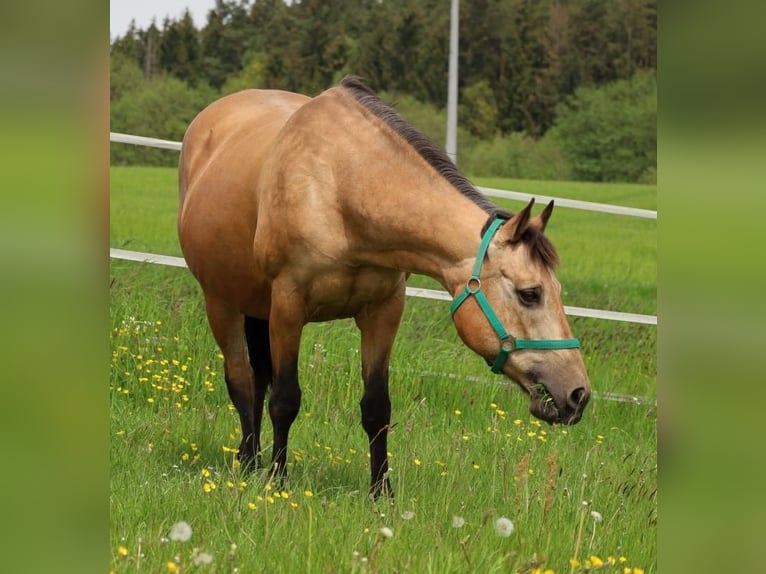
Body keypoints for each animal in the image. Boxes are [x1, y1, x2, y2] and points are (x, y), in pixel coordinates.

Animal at [177, 76, 592, 500]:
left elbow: (377, 407)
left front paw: (381, 492)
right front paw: (278, 481)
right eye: (530, 293)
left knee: (257, 378)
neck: (342, 187)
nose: (578, 395)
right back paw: (249, 462)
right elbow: (285, 399)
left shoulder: (384, 311)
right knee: (242, 381)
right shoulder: (288, 307)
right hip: (222, 302)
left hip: (255, 306)